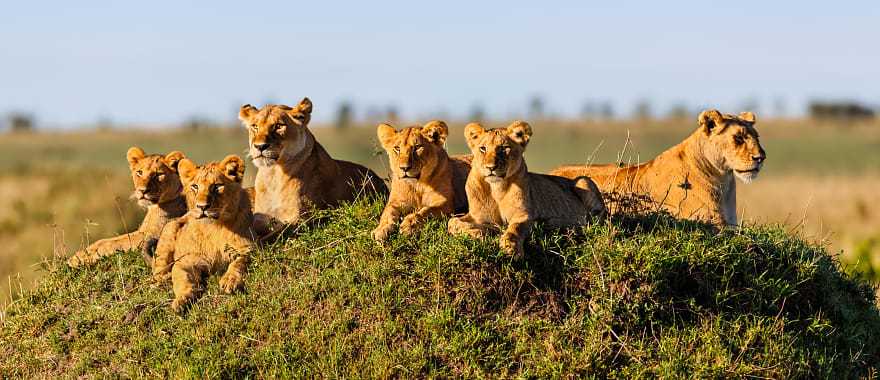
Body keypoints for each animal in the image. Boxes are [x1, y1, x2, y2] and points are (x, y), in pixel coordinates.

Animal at [150, 156, 254, 314]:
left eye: (217, 186)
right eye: (195, 187)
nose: (202, 207)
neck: (213, 227)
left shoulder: (248, 248)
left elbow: (239, 263)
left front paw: (229, 281)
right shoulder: (186, 260)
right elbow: (181, 278)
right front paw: (182, 299)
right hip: (169, 228)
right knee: (157, 273)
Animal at [241, 98, 392, 235]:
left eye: (279, 126)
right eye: (255, 126)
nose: (260, 146)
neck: (273, 175)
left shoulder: (307, 219)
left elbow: (276, 234)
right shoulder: (259, 219)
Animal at [446, 121, 604, 258]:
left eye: (503, 148)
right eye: (482, 148)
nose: (491, 167)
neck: (496, 189)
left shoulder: (524, 215)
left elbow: (515, 229)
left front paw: (510, 247)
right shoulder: (476, 216)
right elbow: (452, 222)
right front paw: (478, 232)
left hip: (584, 181)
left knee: (595, 220)